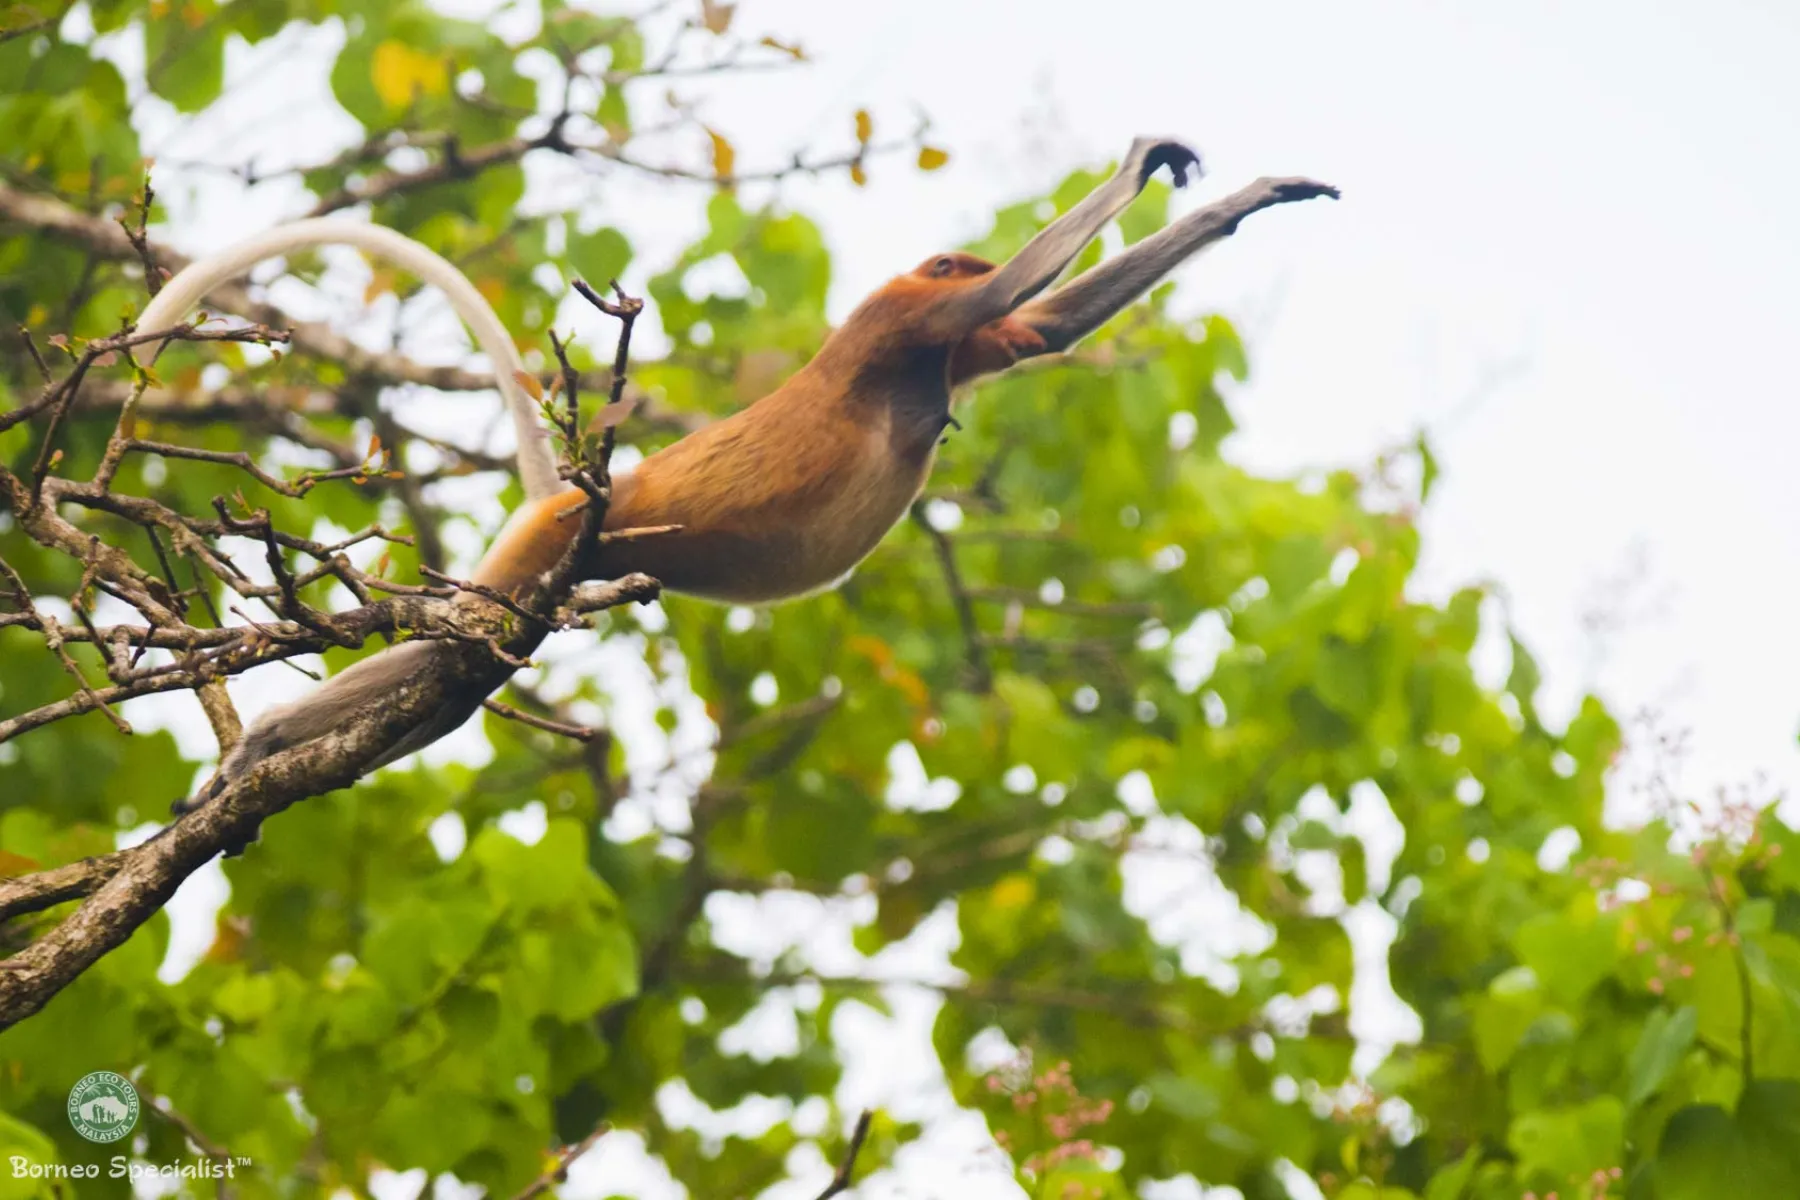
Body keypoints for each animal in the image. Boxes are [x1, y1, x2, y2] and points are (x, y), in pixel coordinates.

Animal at [143, 137, 1334, 807]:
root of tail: (573, 492)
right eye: (956, 262)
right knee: (456, 651)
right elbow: (1008, 302)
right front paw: (1149, 166)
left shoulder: (943, 350)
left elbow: (1041, 325)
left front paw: (1244, 200)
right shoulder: (899, 322)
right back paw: (260, 751)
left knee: (452, 682)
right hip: (539, 552)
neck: (916, 370)